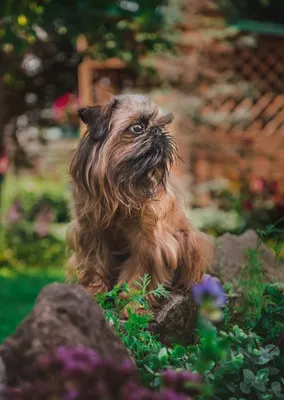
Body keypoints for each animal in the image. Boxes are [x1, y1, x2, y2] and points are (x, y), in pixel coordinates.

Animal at [66, 94, 213, 306]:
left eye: (163, 126)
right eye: (137, 128)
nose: (158, 131)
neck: (120, 186)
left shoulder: (148, 242)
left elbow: (141, 274)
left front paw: (134, 304)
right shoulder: (91, 233)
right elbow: (94, 264)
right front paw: (94, 293)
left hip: (191, 240)